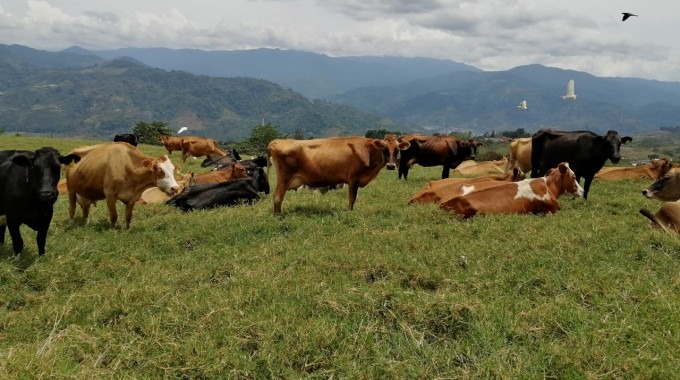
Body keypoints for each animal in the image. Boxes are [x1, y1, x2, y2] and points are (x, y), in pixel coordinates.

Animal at [266, 134, 410, 214]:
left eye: (397, 149)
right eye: (384, 148)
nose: (391, 166)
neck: (367, 150)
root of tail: (276, 141)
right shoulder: (354, 178)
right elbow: (352, 198)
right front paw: (350, 212)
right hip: (284, 178)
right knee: (277, 197)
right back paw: (278, 217)